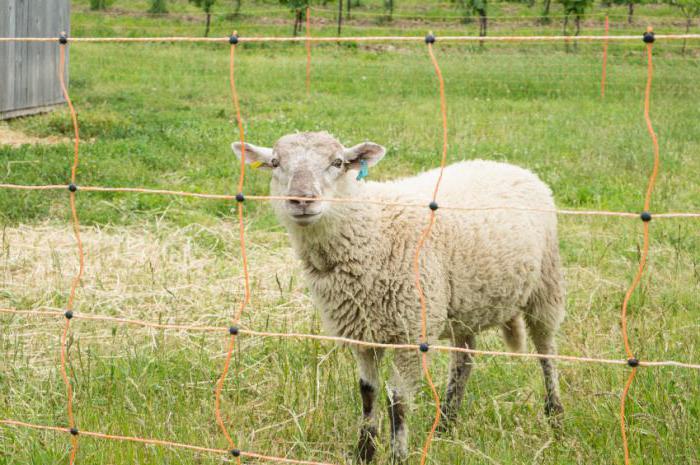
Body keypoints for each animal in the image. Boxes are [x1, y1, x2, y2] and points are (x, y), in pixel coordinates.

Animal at [232, 132, 568, 462]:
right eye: (276, 163)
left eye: (338, 162)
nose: (302, 199)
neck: (371, 227)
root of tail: (509, 166)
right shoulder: (362, 333)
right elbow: (367, 392)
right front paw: (364, 452)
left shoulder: (411, 332)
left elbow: (398, 401)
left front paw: (398, 454)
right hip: (465, 306)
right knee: (463, 361)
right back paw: (446, 424)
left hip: (546, 287)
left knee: (546, 352)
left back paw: (555, 416)